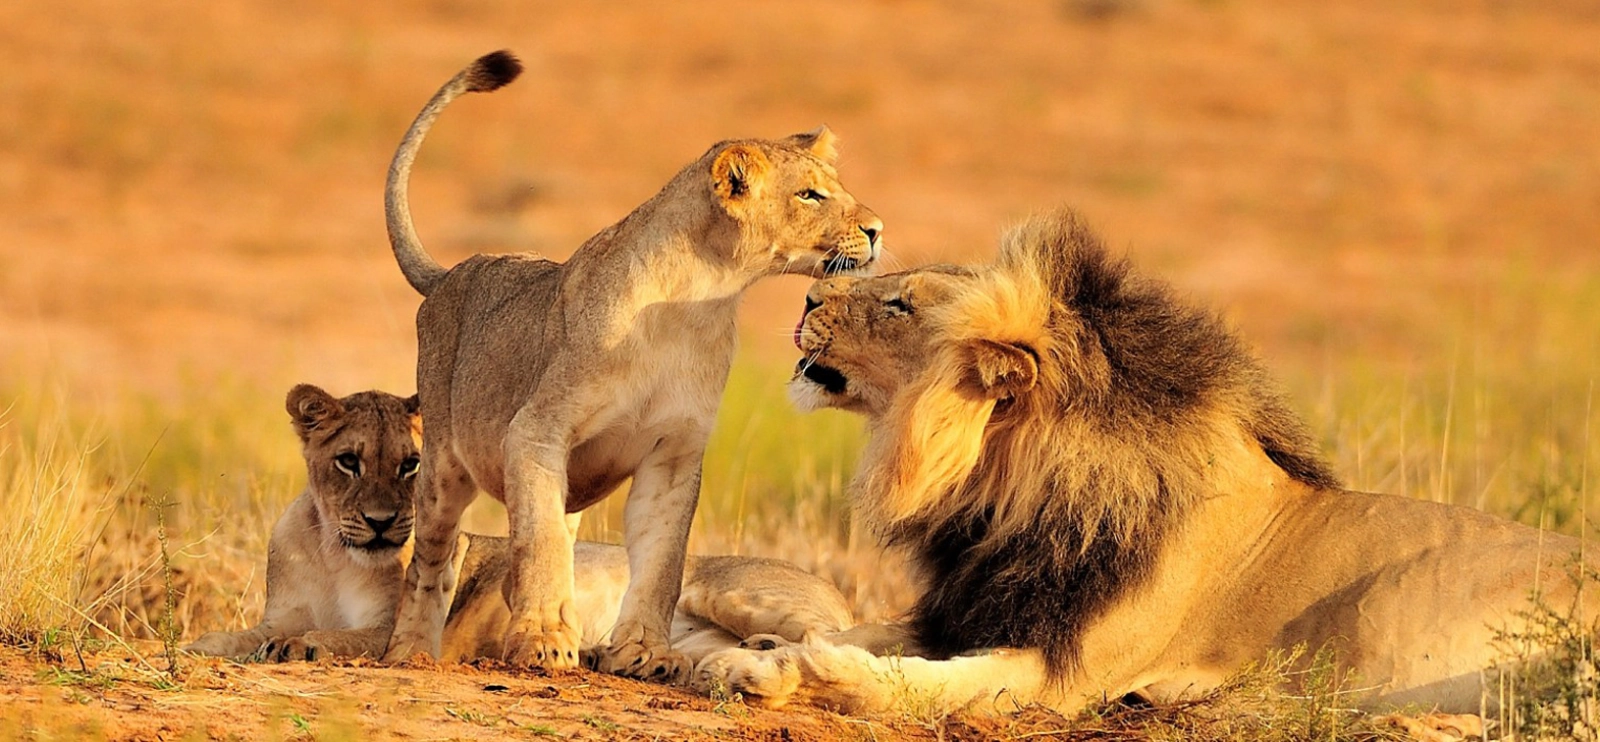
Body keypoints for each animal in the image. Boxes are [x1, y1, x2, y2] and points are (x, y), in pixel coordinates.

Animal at [185, 384, 861, 669]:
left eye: (410, 465)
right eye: (348, 461)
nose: (380, 524)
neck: (333, 550)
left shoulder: (396, 629)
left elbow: (339, 638)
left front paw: (302, 646)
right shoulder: (278, 610)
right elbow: (233, 635)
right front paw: (194, 648)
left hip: (729, 591)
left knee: (843, 636)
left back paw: (768, 647)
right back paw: (599, 652)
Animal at [378, 51, 883, 681]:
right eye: (811, 195)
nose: (877, 230)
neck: (699, 298)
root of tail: (452, 272)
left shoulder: (673, 452)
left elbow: (662, 561)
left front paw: (643, 652)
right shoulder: (536, 432)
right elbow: (540, 543)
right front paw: (544, 643)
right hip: (445, 467)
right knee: (432, 557)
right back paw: (410, 651)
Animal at [693, 209, 1599, 717]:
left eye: (898, 304)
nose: (807, 298)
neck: (1009, 494)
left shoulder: (1058, 673)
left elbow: (907, 680)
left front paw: (780, 671)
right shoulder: (978, 605)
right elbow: (862, 628)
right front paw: (760, 645)